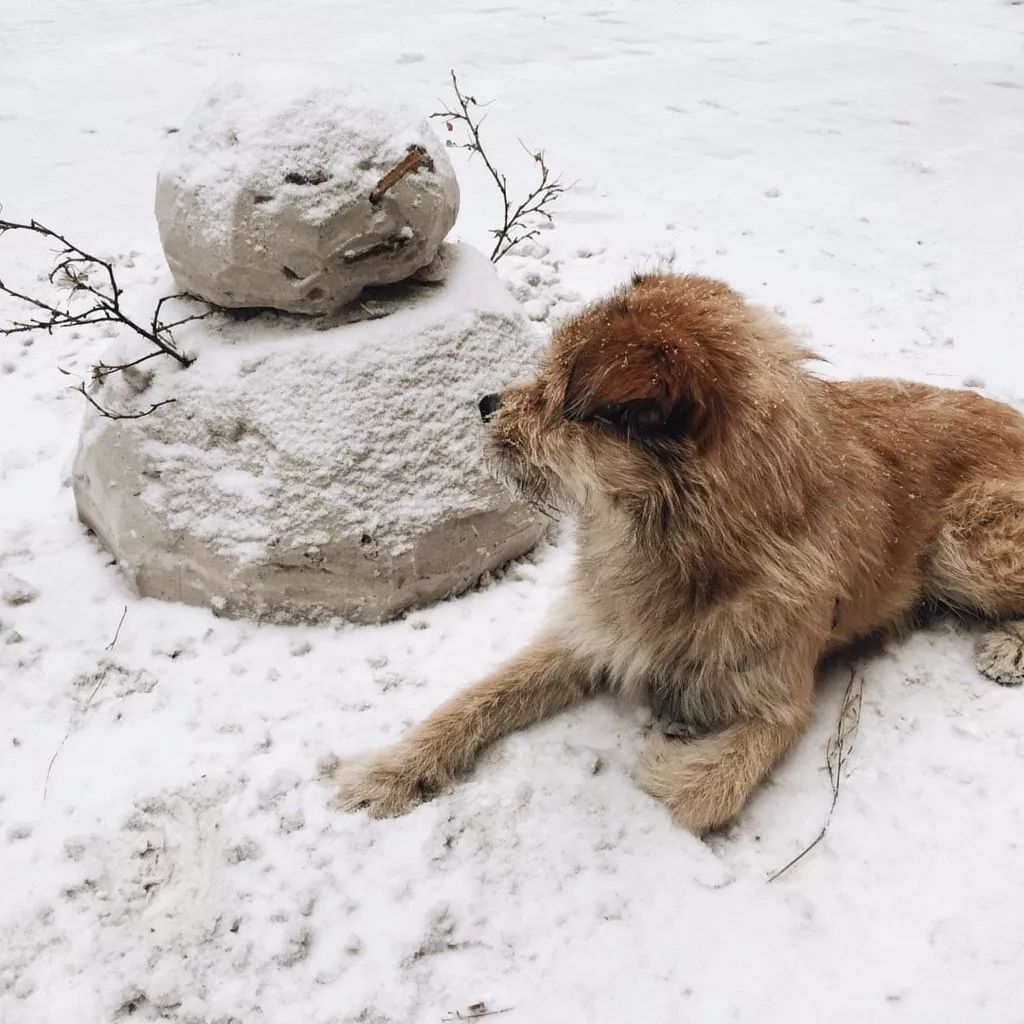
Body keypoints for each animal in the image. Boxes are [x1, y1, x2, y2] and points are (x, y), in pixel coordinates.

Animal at [333, 270, 1024, 831]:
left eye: (557, 394)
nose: (484, 403)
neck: (676, 542)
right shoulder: (591, 634)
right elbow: (473, 698)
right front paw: (389, 771)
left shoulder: (779, 704)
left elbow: (697, 798)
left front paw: (671, 753)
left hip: (966, 541)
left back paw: (1008, 648)